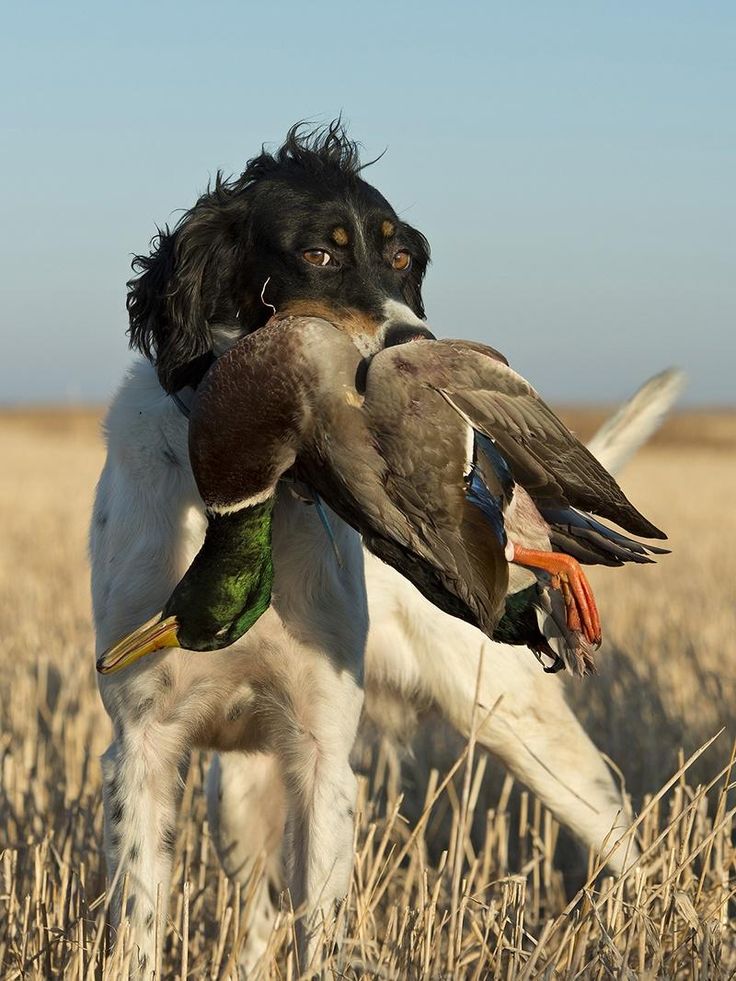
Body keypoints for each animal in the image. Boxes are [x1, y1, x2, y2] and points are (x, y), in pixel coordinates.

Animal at [90, 124, 680, 972]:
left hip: (522, 725)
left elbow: (321, 930)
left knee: (624, 839)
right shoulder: (141, 745)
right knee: (258, 911)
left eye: (400, 257)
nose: (420, 344)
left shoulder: (322, 748)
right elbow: (140, 924)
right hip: (235, 791)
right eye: (320, 253)